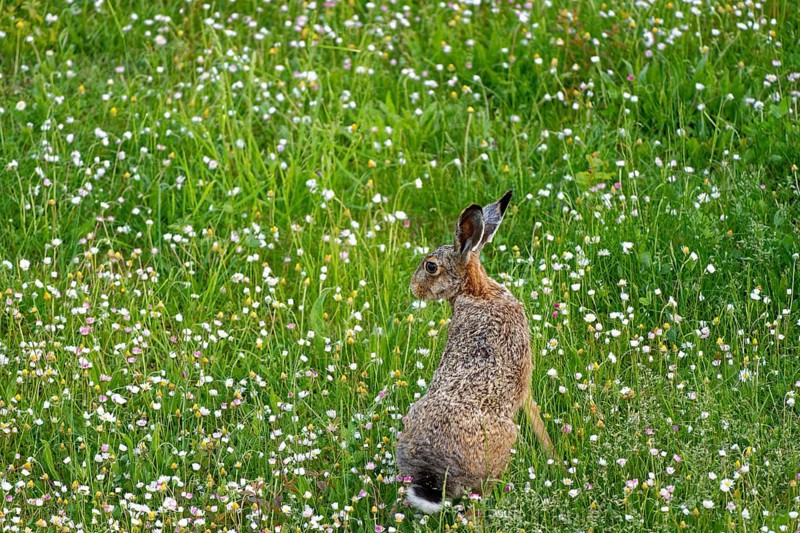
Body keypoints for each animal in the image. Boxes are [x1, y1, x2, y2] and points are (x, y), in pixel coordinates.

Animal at [396, 190, 554, 514]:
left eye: (431, 266)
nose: (414, 288)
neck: (477, 291)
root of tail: (436, 472)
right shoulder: (524, 382)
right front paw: (552, 453)